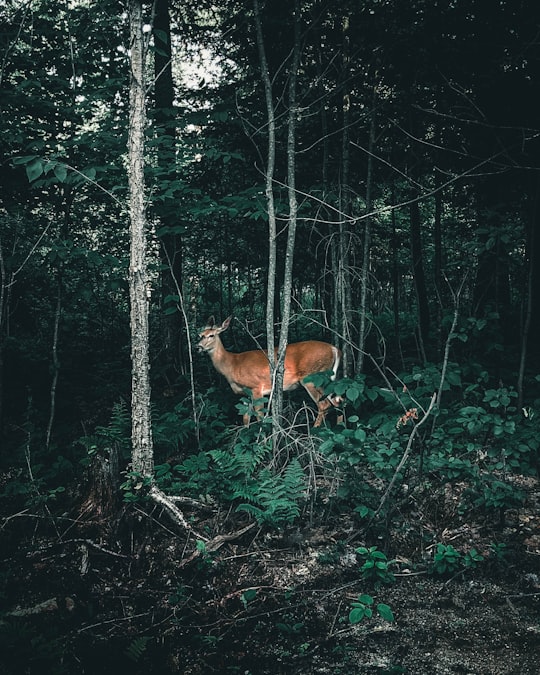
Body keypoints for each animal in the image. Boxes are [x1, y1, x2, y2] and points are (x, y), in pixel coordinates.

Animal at [198, 318, 342, 426]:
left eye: (211, 335)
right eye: (200, 335)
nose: (198, 347)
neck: (232, 364)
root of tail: (334, 349)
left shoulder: (256, 388)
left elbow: (259, 417)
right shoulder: (244, 394)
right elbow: (245, 418)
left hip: (312, 377)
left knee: (324, 405)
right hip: (327, 379)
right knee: (338, 400)